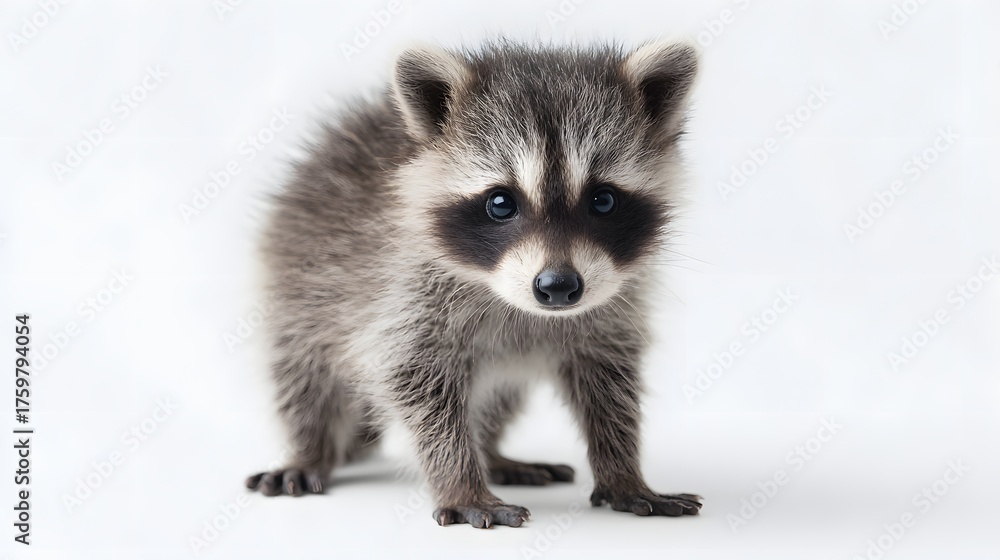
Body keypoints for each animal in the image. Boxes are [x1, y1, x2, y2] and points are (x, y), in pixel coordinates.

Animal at [245, 40, 702, 528]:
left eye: (603, 201)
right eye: (501, 203)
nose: (558, 286)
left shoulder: (611, 307)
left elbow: (609, 385)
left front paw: (623, 472)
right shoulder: (404, 292)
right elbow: (417, 386)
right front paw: (461, 481)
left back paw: (493, 452)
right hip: (300, 285)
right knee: (306, 374)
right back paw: (310, 446)